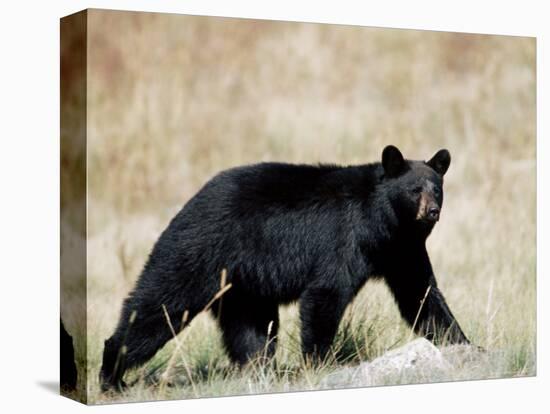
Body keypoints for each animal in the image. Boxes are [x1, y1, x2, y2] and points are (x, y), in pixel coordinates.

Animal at [101, 146, 472, 392]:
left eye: (437, 188)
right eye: (414, 190)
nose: (432, 211)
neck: (385, 223)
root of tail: (188, 203)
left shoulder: (401, 250)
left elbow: (420, 295)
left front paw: (465, 344)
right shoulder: (346, 238)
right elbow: (326, 293)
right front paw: (320, 363)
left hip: (244, 287)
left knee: (252, 330)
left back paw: (258, 371)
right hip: (195, 255)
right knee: (159, 306)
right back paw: (112, 376)